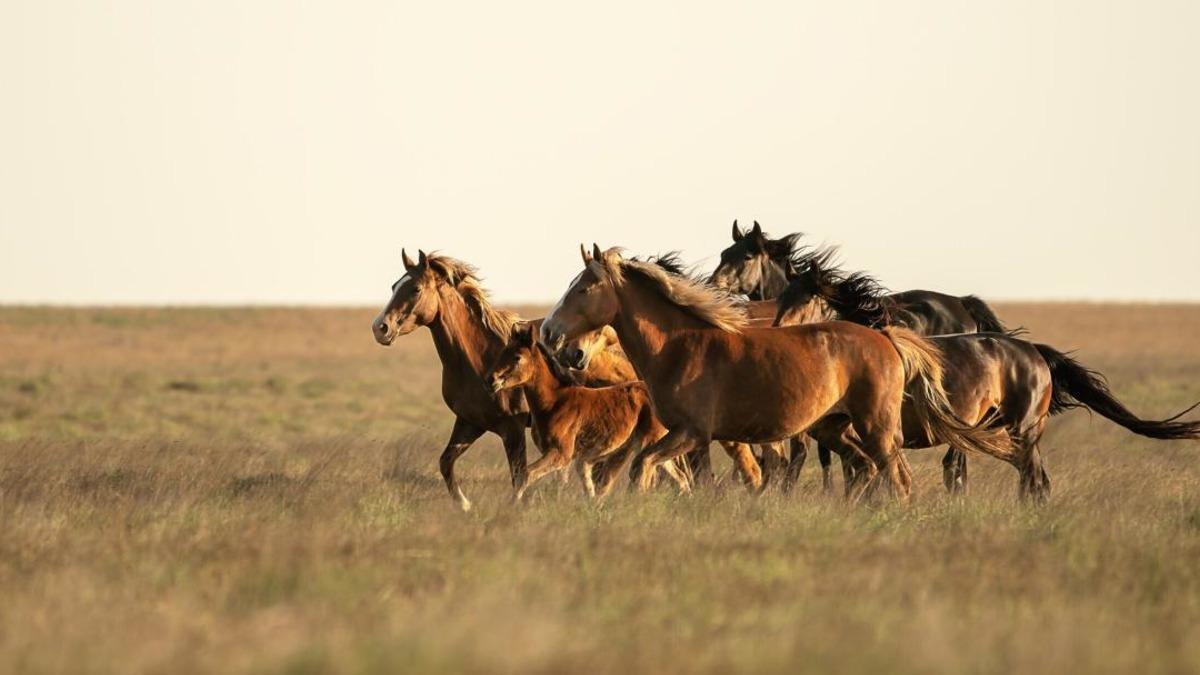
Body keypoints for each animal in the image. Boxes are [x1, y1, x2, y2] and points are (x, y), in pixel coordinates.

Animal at [369, 249, 643, 506]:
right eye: (394, 286)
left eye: (415, 289)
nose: (380, 328)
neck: (479, 357)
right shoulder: (470, 422)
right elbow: (446, 462)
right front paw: (465, 506)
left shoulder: (512, 429)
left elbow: (518, 474)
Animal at [482, 319, 691, 499]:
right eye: (502, 352)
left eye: (517, 357)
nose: (491, 380)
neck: (555, 402)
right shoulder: (569, 459)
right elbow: (579, 487)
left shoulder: (561, 453)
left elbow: (524, 475)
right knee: (679, 478)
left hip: (647, 442)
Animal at [540, 243, 1008, 502]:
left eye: (584, 287)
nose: (549, 333)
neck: (680, 345)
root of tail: (886, 338)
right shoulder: (687, 436)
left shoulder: (692, 432)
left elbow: (643, 468)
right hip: (833, 428)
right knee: (864, 469)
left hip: (876, 426)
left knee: (898, 477)